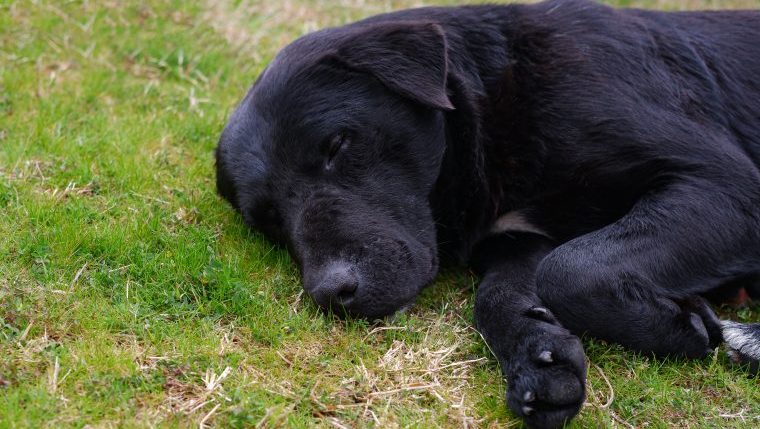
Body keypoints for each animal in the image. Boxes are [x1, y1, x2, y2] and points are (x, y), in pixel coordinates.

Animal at [214, 1, 760, 426]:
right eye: (269, 219)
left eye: (337, 145)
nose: (332, 293)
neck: (503, 94)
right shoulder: (517, 237)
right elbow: (507, 292)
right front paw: (538, 357)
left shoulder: (727, 183)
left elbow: (570, 268)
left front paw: (681, 324)